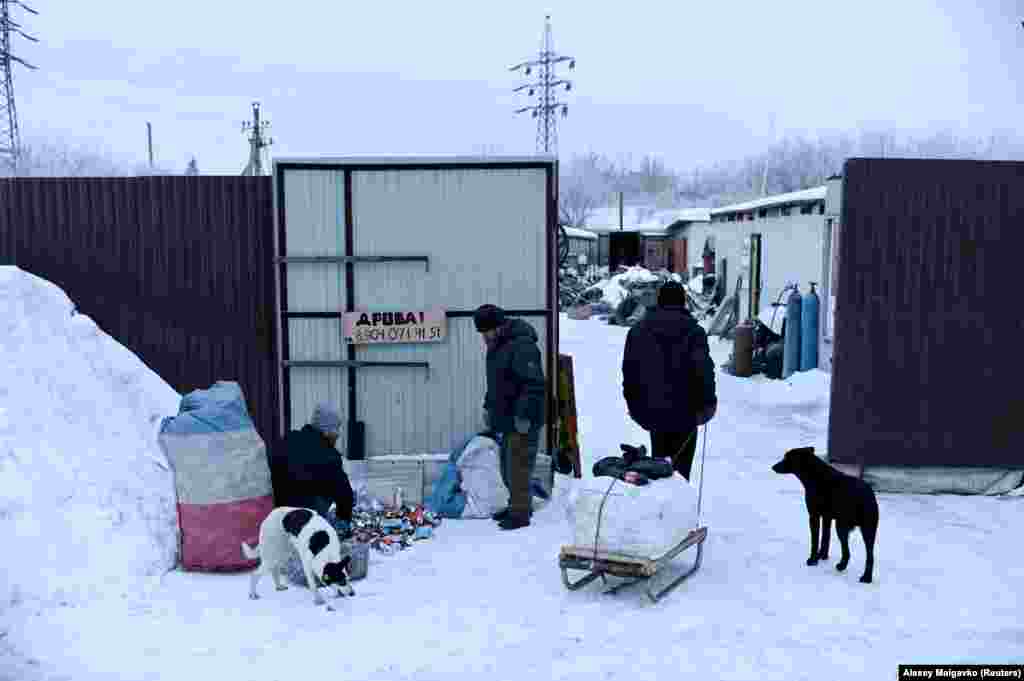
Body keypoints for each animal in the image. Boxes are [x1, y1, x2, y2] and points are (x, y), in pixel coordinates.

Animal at [770, 446, 876, 585]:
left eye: (787, 458)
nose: (773, 467)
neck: (816, 476)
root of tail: (866, 497)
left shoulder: (814, 515)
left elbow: (815, 540)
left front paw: (813, 559)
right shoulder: (827, 517)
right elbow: (825, 537)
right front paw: (823, 556)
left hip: (844, 526)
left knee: (851, 551)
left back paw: (853, 571)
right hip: (867, 530)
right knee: (868, 554)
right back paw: (862, 575)